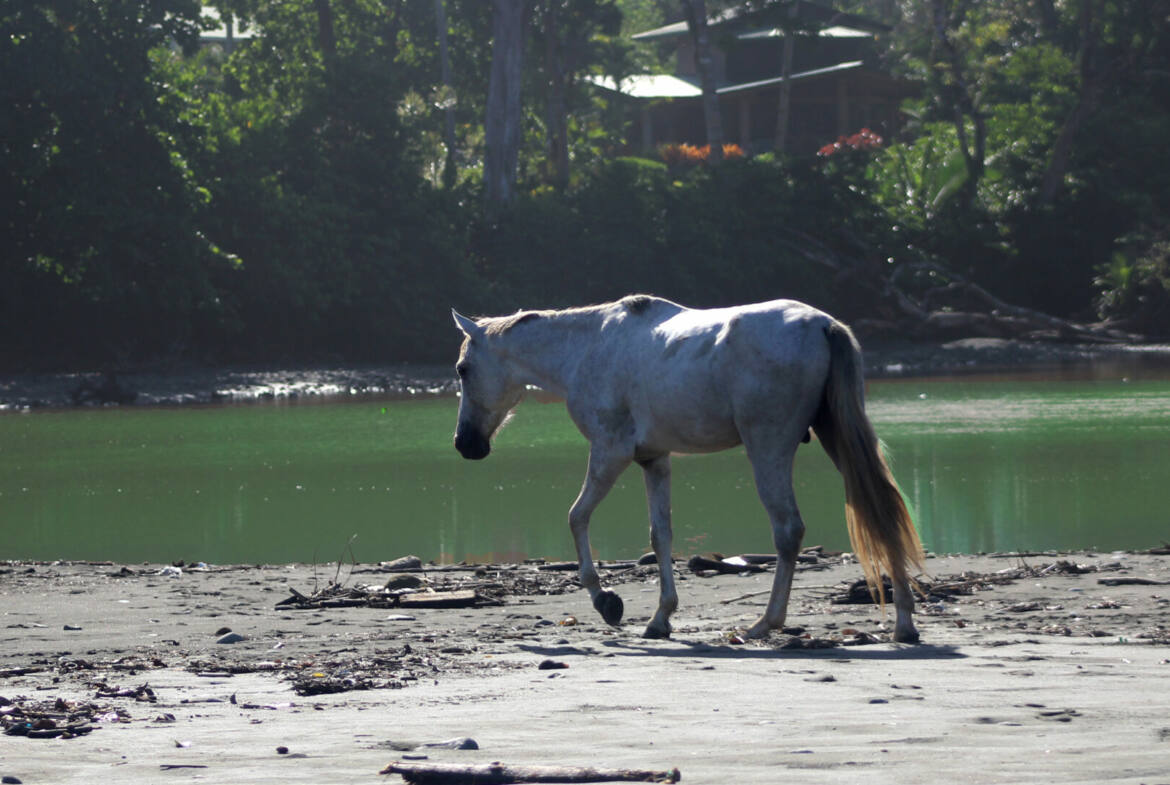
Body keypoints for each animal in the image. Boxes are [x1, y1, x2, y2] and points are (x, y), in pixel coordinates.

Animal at [451, 294, 926, 645]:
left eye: (463, 369)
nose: (464, 444)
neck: (586, 349)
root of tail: (823, 325)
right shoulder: (653, 459)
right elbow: (660, 536)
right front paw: (660, 617)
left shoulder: (610, 452)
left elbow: (577, 517)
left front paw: (606, 601)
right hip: (835, 438)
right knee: (881, 511)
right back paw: (904, 623)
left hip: (768, 448)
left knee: (789, 529)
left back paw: (765, 623)